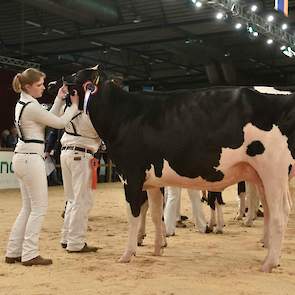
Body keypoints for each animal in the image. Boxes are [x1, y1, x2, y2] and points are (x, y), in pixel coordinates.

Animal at [59, 66, 294, 272]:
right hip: (262, 176)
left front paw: (127, 254)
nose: (56, 82)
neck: (124, 115)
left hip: (273, 171)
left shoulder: (131, 175)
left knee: (280, 214)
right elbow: (155, 214)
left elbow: (133, 215)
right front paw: (157, 249)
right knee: (271, 211)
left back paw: (269, 263)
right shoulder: (152, 181)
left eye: (75, 75)